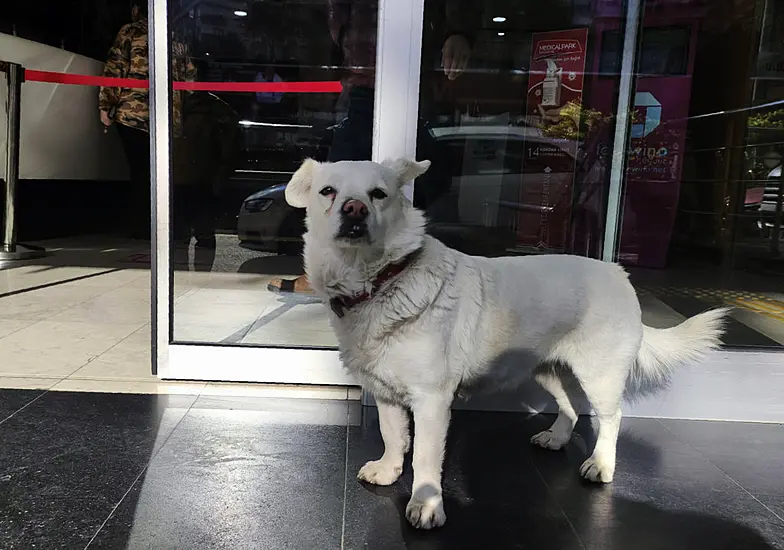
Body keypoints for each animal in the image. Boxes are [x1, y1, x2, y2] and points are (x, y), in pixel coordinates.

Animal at [286, 158, 728, 532]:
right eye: (328, 191)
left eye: (378, 194)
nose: (354, 209)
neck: (379, 280)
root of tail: (619, 273)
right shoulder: (386, 392)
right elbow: (394, 436)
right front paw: (389, 470)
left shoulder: (432, 400)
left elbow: (426, 457)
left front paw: (426, 506)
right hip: (547, 370)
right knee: (571, 406)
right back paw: (556, 438)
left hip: (599, 374)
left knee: (611, 418)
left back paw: (600, 465)